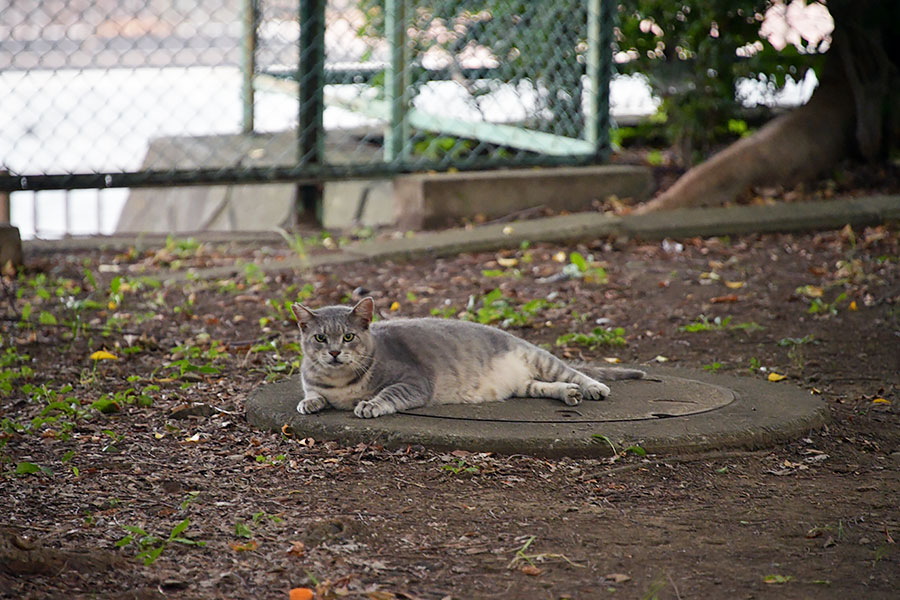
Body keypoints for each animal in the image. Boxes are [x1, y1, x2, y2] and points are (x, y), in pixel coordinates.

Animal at [292, 296, 644, 418]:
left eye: (348, 337)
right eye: (320, 338)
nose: (334, 352)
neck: (340, 383)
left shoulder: (414, 381)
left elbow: (388, 394)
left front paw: (370, 404)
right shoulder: (312, 382)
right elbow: (312, 393)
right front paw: (310, 402)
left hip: (542, 359)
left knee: (573, 373)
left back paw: (592, 387)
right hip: (525, 384)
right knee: (545, 385)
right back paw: (568, 394)